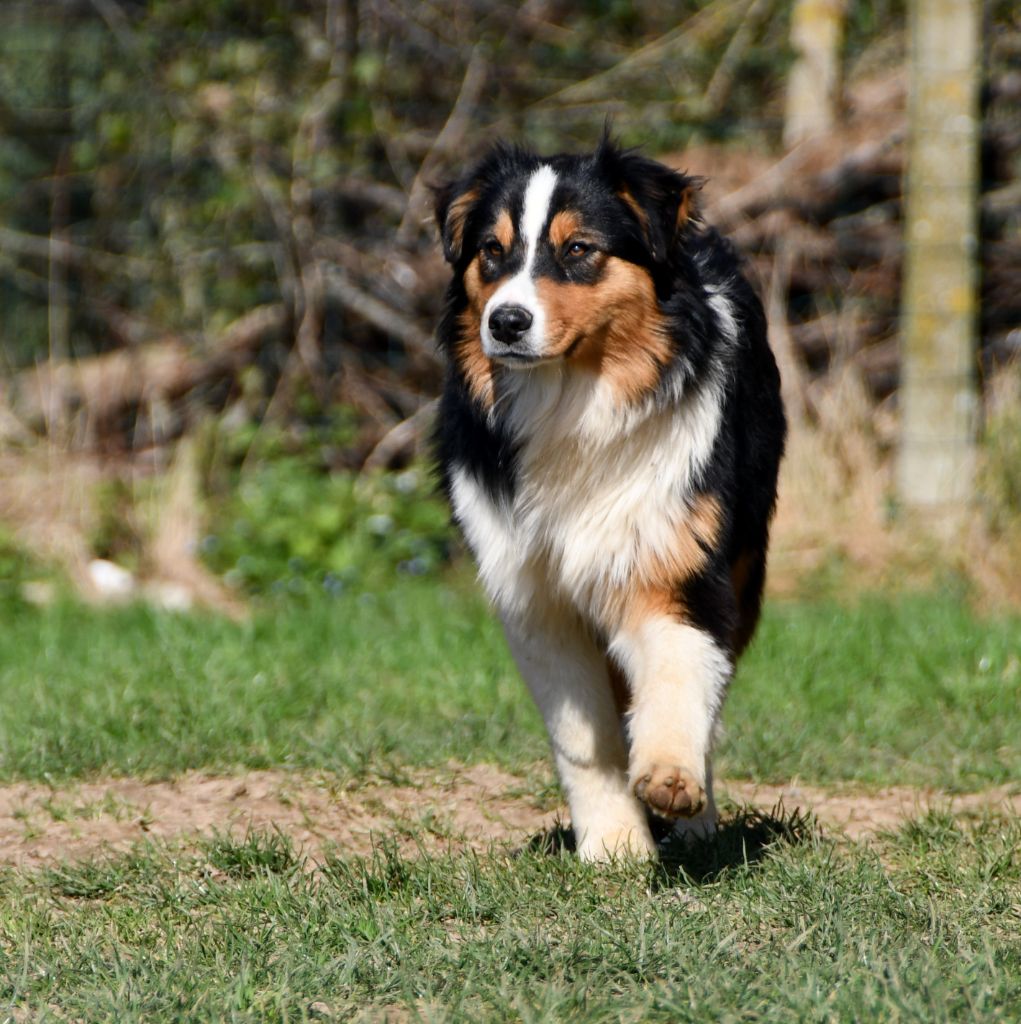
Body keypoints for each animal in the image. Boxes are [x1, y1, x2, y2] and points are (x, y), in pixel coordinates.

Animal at [434, 134, 786, 856]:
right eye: (491, 250)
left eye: (578, 249)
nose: (505, 321)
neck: (573, 404)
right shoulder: (534, 598)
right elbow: (582, 737)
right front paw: (615, 846)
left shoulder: (674, 563)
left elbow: (680, 671)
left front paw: (672, 780)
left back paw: (698, 821)